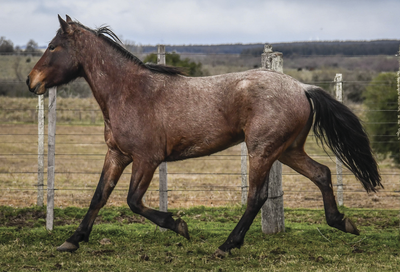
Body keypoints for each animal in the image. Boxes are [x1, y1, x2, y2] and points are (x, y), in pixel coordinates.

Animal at [26, 15, 382, 258]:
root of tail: (302, 88)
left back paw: (227, 245)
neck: (129, 92)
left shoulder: (146, 159)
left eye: (53, 47)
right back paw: (342, 222)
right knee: (322, 174)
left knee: (257, 197)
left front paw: (180, 226)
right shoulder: (117, 155)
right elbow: (99, 196)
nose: (32, 81)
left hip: (263, 151)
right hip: (288, 150)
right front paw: (72, 240)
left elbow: (133, 201)